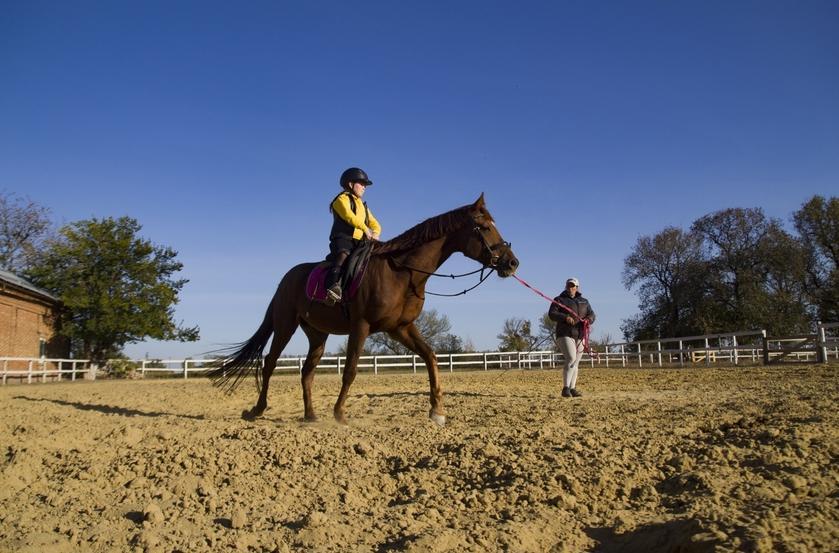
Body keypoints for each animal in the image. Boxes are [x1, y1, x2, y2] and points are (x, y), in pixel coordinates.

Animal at [207, 195, 516, 426]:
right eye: (484, 227)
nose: (512, 263)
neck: (402, 273)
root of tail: (287, 278)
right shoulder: (362, 326)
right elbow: (351, 370)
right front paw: (340, 413)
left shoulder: (400, 328)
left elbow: (430, 357)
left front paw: (437, 411)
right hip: (285, 325)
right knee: (270, 362)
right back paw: (257, 410)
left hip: (317, 334)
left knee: (307, 371)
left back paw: (310, 415)